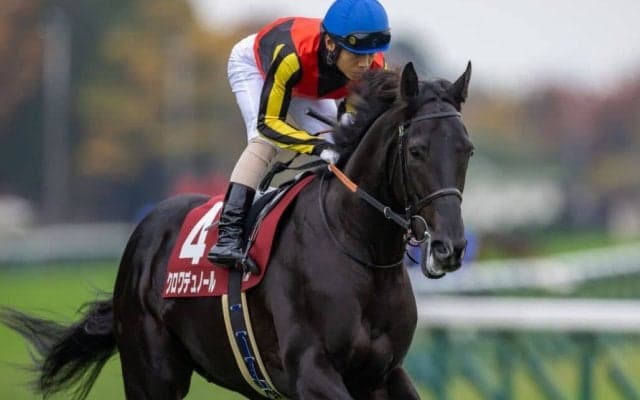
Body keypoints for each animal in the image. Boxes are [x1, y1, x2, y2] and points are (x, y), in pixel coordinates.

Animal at [1, 61, 473, 400]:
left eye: (467, 150)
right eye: (416, 151)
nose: (449, 247)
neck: (359, 248)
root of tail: (145, 229)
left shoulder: (384, 373)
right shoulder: (311, 371)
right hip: (150, 373)